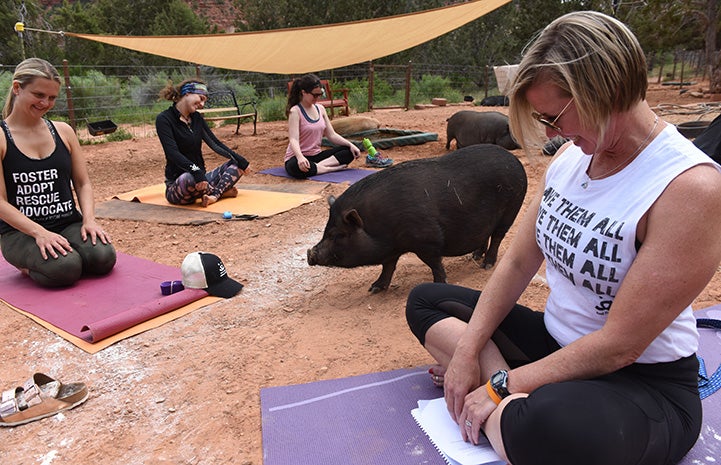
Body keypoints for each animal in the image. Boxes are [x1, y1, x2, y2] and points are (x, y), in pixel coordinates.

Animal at [304, 143, 524, 292]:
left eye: (339, 234)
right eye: (325, 230)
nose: (310, 253)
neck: (378, 224)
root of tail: (516, 161)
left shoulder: (427, 240)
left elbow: (434, 264)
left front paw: (440, 283)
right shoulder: (392, 248)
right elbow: (388, 266)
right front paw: (374, 289)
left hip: (511, 209)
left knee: (497, 237)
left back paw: (486, 265)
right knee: (485, 235)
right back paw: (475, 257)